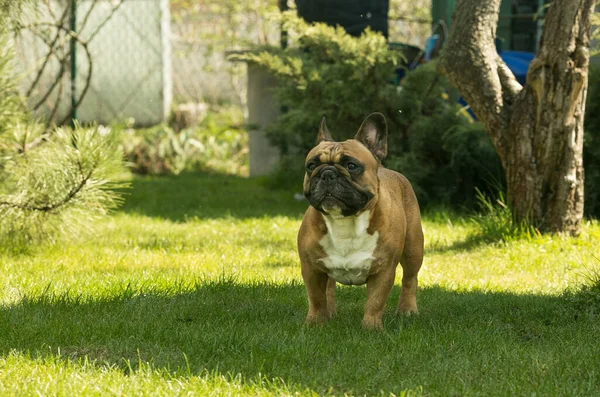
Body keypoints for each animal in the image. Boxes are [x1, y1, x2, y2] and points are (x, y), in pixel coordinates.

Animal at [296, 111, 422, 328]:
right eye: (311, 165)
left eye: (351, 165)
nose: (327, 173)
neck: (345, 221)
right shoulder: (311, 268)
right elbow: (316, 298)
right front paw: (315, 323)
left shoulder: (383, 270)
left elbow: (375, 301)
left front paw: (371, 327)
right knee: (329, 287)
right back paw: (330, 312)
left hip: (414, 249)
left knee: (410, 279)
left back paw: (407, 310)